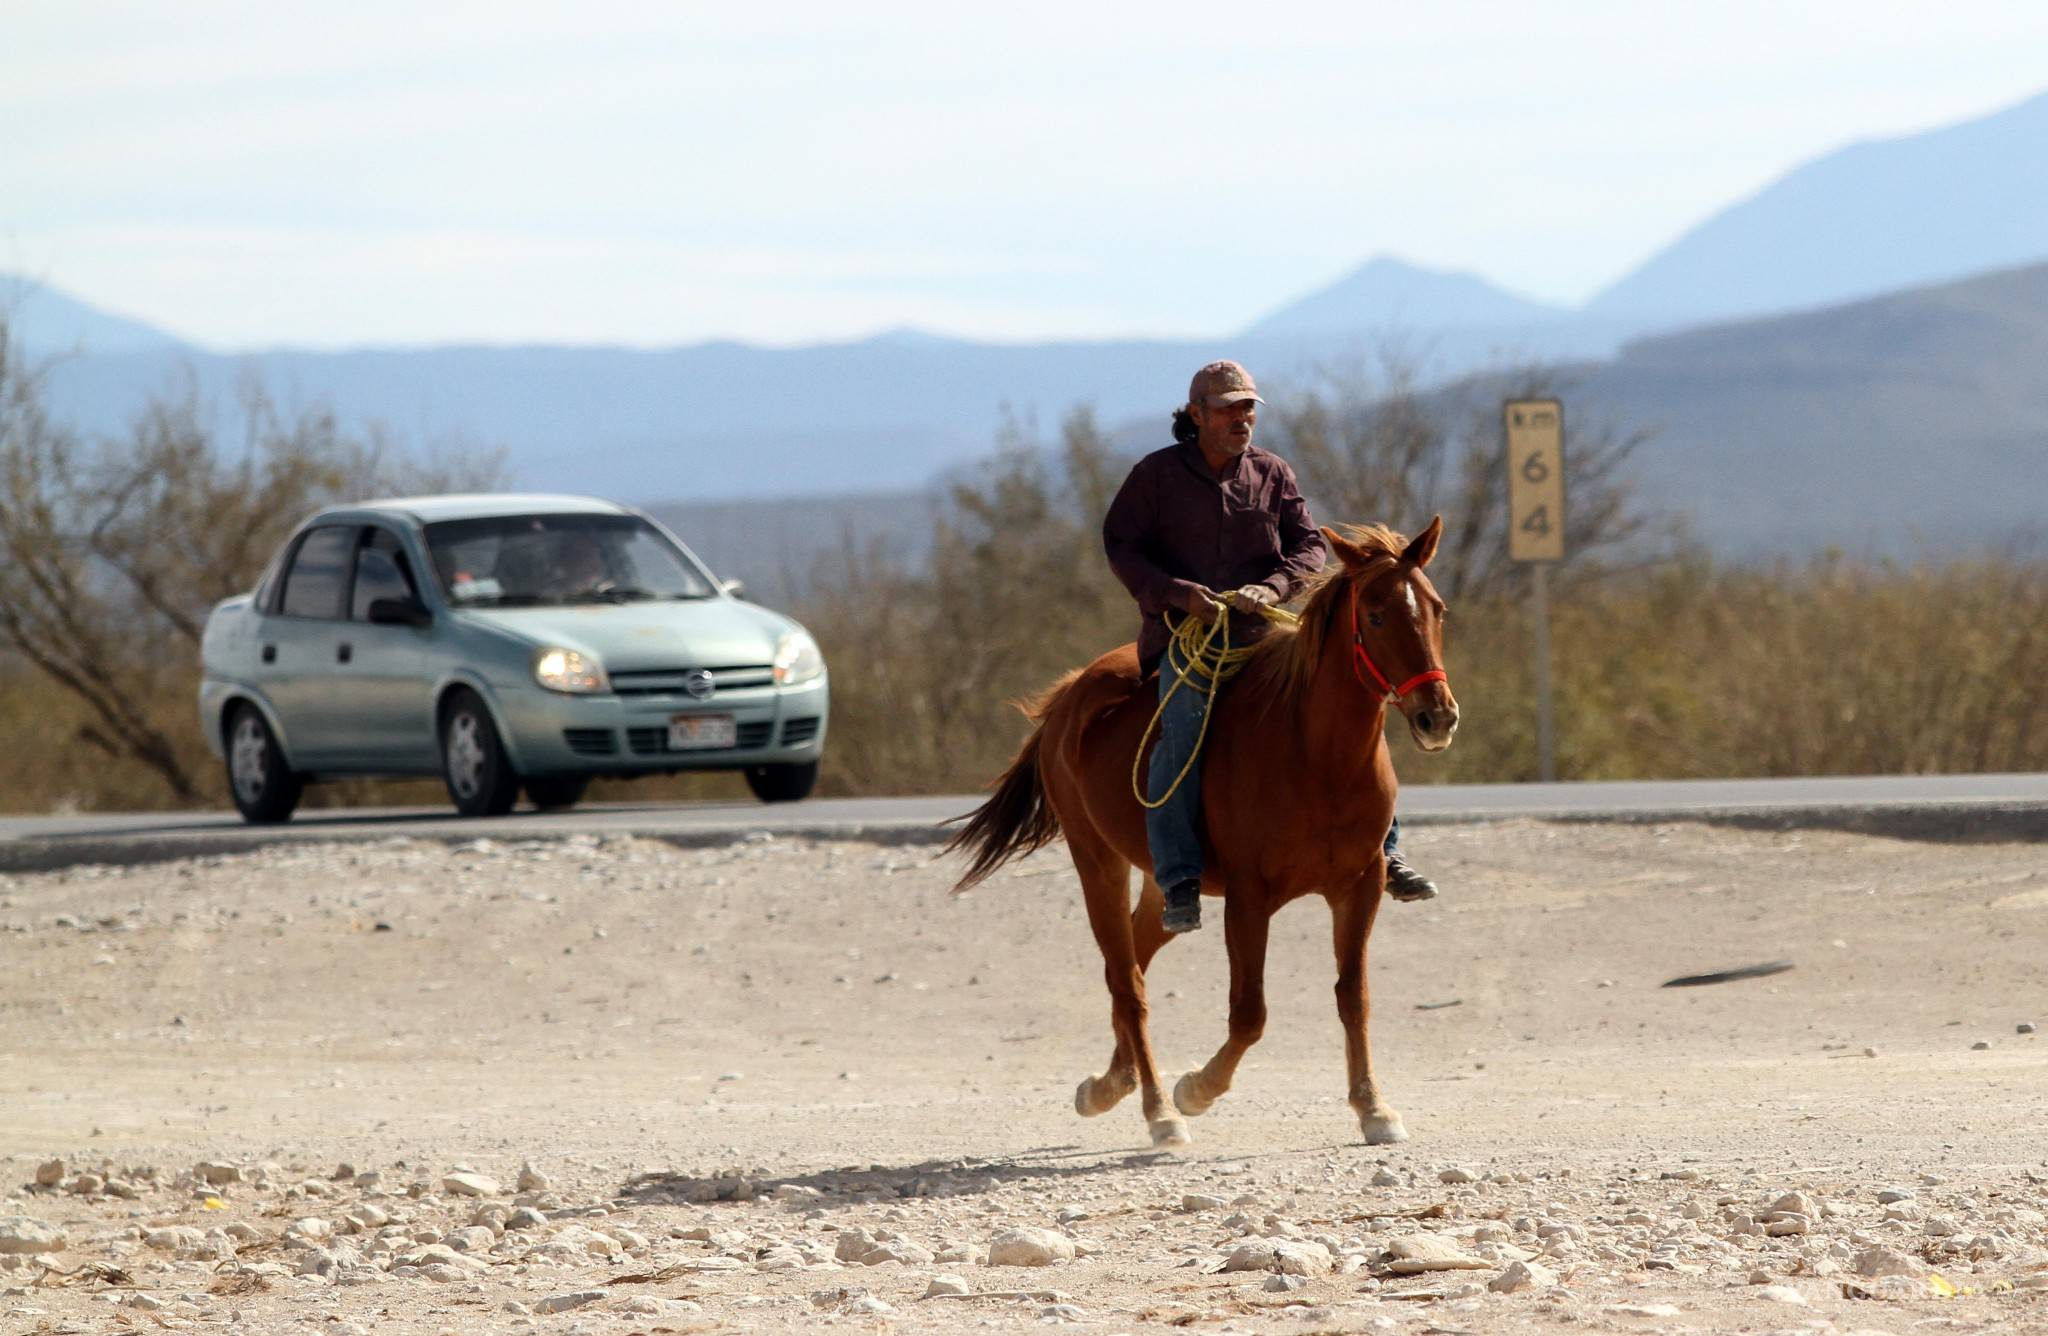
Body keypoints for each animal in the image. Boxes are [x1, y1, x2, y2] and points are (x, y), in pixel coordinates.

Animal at [942, 522, 1458, 1147]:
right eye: (1377, 614)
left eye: (1437, 609)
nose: (1438, 717)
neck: (1315, 756)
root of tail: (1070, 696)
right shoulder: (1248, 897)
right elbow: (1250, 1013)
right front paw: (1197, 1088)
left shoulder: (1360, 886)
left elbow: (1352, 998)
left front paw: (1374, 1107)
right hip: (1097, 862)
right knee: (1128, 984)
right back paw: (1159, 1111)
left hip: (1162, 884)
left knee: (1133, 961)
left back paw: (1109, 1085)